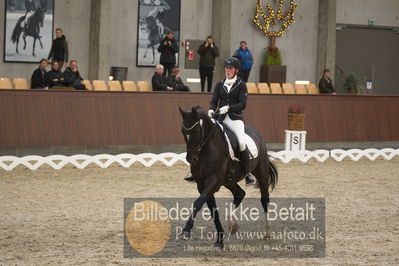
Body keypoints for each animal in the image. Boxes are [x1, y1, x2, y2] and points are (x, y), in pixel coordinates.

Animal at [180, 106, 278, 249]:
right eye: (183, 131)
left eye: (196, 130)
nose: (191, 159)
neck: (207, 148)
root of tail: (257, 134)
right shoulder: (202, 185)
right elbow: (212, 210)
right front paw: (219, 241)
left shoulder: (214, 181)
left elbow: (198, 203)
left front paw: (186, 230)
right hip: (229, 181)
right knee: (240, 193)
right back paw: (233, 225)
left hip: (261, 175)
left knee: (264, 199)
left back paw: (268, 233)